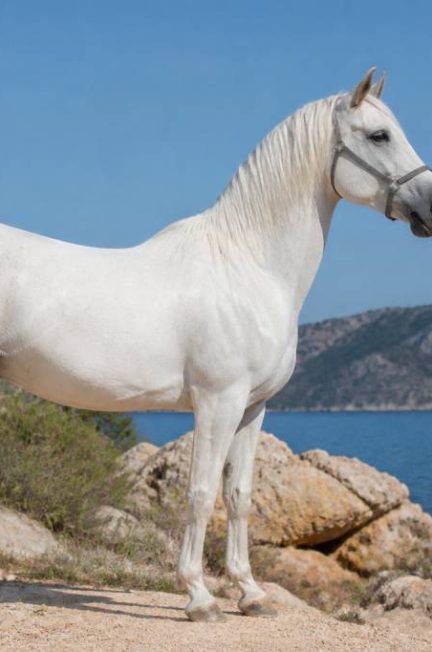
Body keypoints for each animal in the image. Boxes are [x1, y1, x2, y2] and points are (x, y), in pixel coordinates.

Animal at [1, 68, 431, 622]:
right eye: (380, 136)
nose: (429, 206)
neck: (248, 265)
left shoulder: (253, 408)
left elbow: (240, 495)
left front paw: (250, 593)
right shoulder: (217, 402)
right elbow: (202, 493)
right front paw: (200, 597)